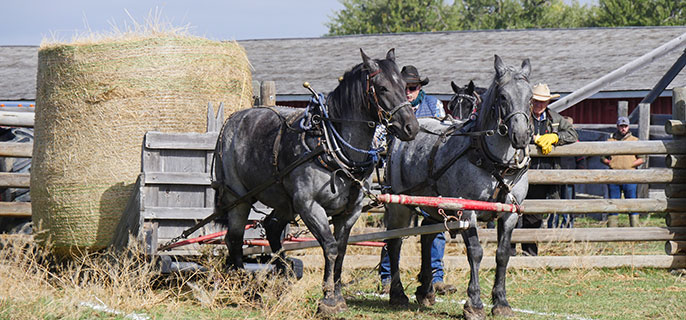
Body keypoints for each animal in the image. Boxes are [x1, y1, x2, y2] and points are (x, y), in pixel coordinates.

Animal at [215, 48, 422, 314]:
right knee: (234, 238)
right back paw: (246, 289)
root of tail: (232, 119)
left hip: (284, 202)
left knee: (271, 228)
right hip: (239, 198)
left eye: (404, 86)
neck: (330, 146)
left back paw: (283, 278)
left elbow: (341, 251)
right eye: (383, 88)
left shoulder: (350, 211)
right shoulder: (310, 206)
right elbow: (330, 247)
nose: (411, 127)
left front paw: (338, 296)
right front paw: (328, 299)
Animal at [384, 55, 536, 320]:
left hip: (433, 205)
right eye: (503, 96)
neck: (495, 162)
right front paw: (474, 303)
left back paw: (426, 290)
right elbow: (475, 252)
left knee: (428, 237)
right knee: (395, 243)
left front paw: (501, 302)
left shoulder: (509, 214)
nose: (520, 136)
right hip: (399, 205)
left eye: (529, 97)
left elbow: (502, 254)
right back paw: (398, 293)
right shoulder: (467, 211)